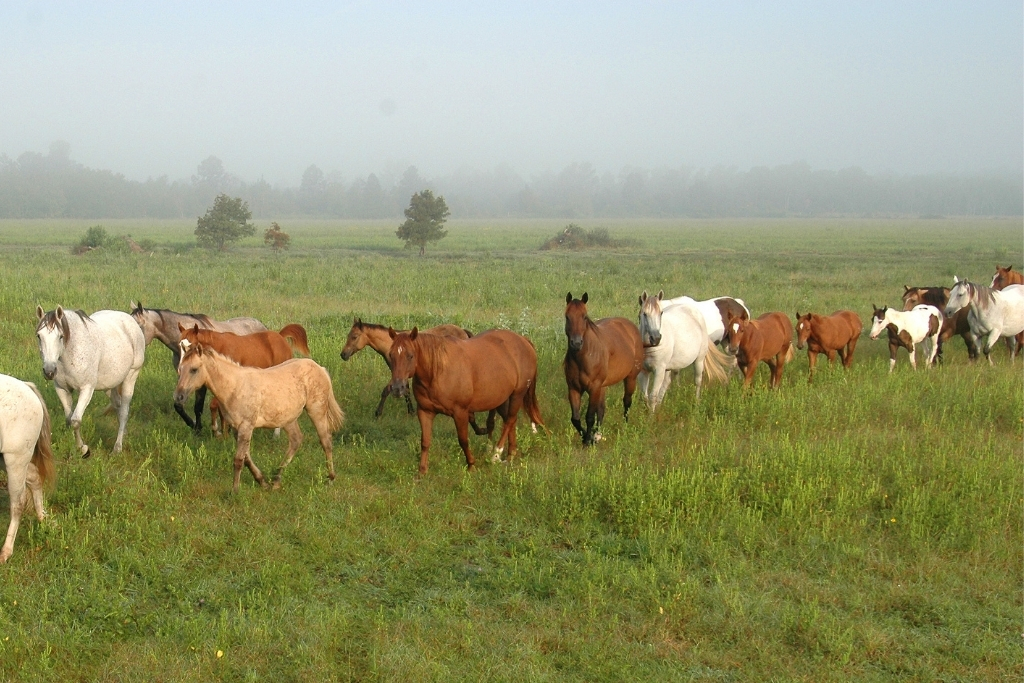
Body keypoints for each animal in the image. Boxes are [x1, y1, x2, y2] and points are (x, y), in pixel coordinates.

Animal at [0, 376, 55, 565]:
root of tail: (26, 386)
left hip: (15, 459)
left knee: (18, 504)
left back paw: (6, 551)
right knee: (34, 477)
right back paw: (42, 518)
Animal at [35, 305, 146, 456]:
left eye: (61, 336)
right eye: (39, 336)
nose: (49, 371)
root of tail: (131, 321)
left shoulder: (86, 389)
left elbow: (76, 421)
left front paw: (83, 449)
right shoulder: (62, 389)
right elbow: (69, 420)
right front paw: (75, 447)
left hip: (131, 376)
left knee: (124, 411)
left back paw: (117, 448)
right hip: (110, 385)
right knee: (117, 404)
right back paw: (123, 434)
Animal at [169, 348, 342, 491]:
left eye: (194, 369)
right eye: (180, 369)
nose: (178, 397)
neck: (234, 387)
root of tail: (320, 368)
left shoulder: (246, 426)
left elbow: (238, 459)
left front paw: (235, 491)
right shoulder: (237, 428)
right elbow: (246, 458)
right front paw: (262, 482)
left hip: (316, 411)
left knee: (325, 441)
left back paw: (331, 478)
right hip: (287, 418)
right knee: (296, 440)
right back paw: (276, 481)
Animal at [385, 327, 544, 473]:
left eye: (410, 356)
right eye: (391, 355)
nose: (397, 388)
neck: (437, 371)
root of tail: (524, 340)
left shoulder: (460, 412)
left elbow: (463, 440)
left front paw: (471, 465)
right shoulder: (425, 411)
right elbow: (425, 442)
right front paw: (421, 472)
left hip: (518, 394)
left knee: (509, 420)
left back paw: (497, 454)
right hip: (503, 397)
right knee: (510, 420)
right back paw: (510, 454)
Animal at [565, 290, 643, 446]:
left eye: (584, 316)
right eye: (567, 317)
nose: (576, 343)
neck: (583, 358)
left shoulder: (594, 387)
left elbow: (589, 416)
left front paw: (587, 441)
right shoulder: (574, 388)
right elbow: (575, 418)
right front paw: (587, 437)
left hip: (630, 378)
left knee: (627, 402)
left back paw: (625, 427)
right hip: (603, 386)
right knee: (601, 410)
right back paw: (598, 435)